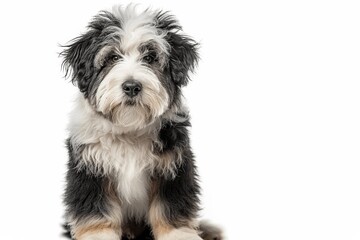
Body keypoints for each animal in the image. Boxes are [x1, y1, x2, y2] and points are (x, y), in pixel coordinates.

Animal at [60, 4, 221, 240]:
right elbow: (95, 208)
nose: (131, 87)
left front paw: (178, 233)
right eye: (112, 58)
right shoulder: (90, 167)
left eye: (151, 57)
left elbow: (170, 205)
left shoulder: (173, 166)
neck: (130, 127)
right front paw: (97, 234)